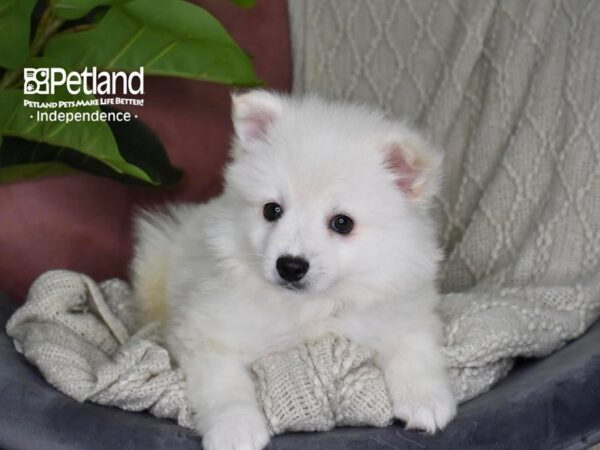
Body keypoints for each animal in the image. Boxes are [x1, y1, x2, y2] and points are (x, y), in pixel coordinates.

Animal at [131, 91, 458, 450]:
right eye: (272, 210)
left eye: (342, 223)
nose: (289, 266)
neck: (313, 307)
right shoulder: (206, 336)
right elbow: (225, 386)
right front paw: (235, 428)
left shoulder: (406, 312)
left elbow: (415, 350)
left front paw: (425, 400)